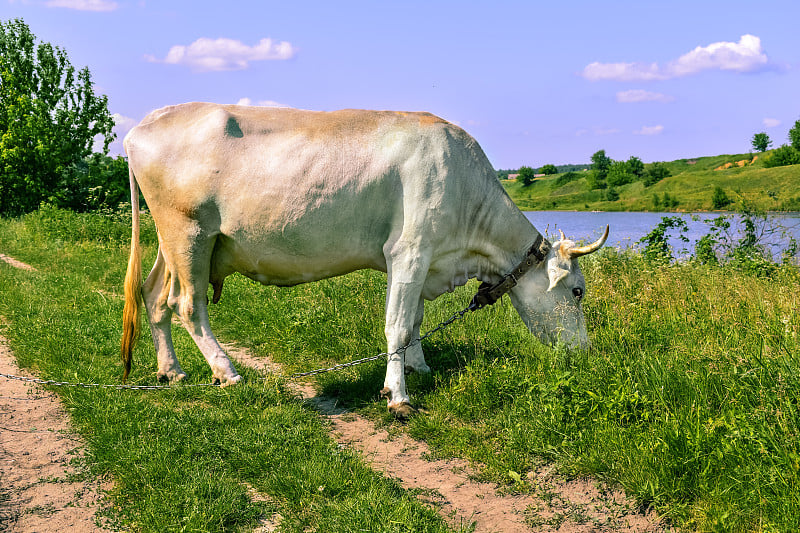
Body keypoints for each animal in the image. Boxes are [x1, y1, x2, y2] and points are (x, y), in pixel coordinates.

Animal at [120, 103, 608, 416]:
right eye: (578, 291)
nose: (585, 353)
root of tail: (143, 124)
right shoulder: (409, 252)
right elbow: (397, 325)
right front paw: (398, 396)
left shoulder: (424, 259)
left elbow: (414, 321)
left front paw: (420, 367)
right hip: (189, 233)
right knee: (187, 305)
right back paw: (227, 372)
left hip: (175, 242)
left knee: (154, 296)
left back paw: (171, 371)